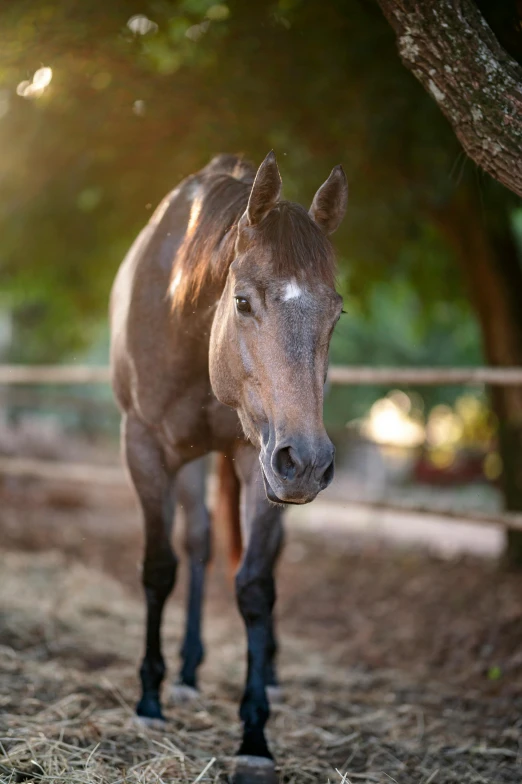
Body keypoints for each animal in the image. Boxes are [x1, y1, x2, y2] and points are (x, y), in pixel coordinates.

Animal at [108, 150, 346, 776]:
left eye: (336, 313)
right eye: (243, 301)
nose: (309, 462)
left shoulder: (257, 459)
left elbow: (255, 588)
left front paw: (255, 737)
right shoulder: (143, 446)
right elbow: (159, 567)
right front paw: (149, 699)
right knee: (196, 544)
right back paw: (186, 674)